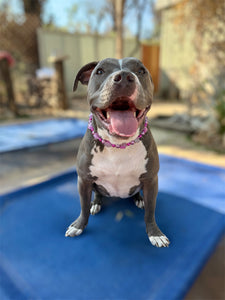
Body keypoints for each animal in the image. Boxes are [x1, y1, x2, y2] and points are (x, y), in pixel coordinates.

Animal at [66, 57, 170, 247]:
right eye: (99, 71)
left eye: (141, 71)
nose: (123, 77)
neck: (117, 145)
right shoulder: (83, 180)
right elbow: (83, 207)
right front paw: (78, 225)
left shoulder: (151, 181)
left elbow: (150, 212)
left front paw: (155, 233)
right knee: (97, 194)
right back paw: (96, 203)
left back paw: (139, 199)